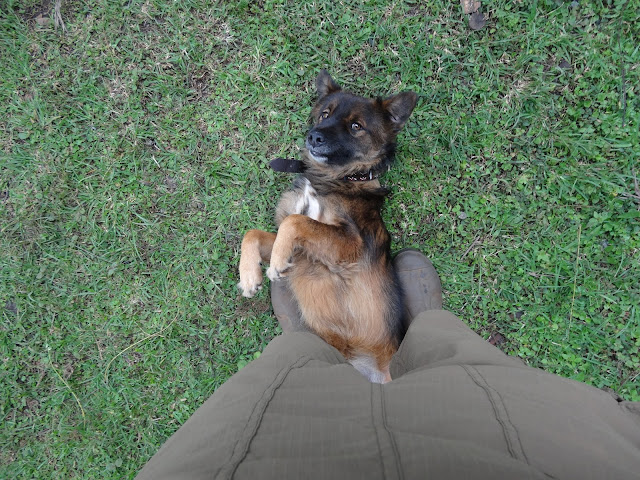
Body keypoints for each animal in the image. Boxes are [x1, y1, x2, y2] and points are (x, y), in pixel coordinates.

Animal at [237, 70, 417, 383]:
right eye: (325, 114)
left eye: (356, 126)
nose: (314, 135)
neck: (335, 179)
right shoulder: (304, 247)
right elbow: (255, 233)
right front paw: (249, 275)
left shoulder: (351, 247)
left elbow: (295, 221)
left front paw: (276, 262)